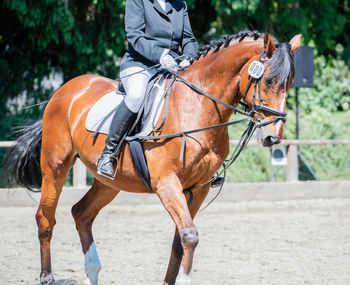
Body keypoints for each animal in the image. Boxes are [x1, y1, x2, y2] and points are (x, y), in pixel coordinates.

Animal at [4, 30, 300, 282]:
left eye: (290, 83)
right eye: (269, 80)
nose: (273, 136)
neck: (196, 106)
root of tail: (64, 90)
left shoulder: (199, 187)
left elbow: (179, 241)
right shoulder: (166, 182)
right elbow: (189, 236)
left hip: (110, 181)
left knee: (82, 213)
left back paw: (92, 272)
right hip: (55, 166)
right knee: (45, 218)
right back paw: (47, 277)